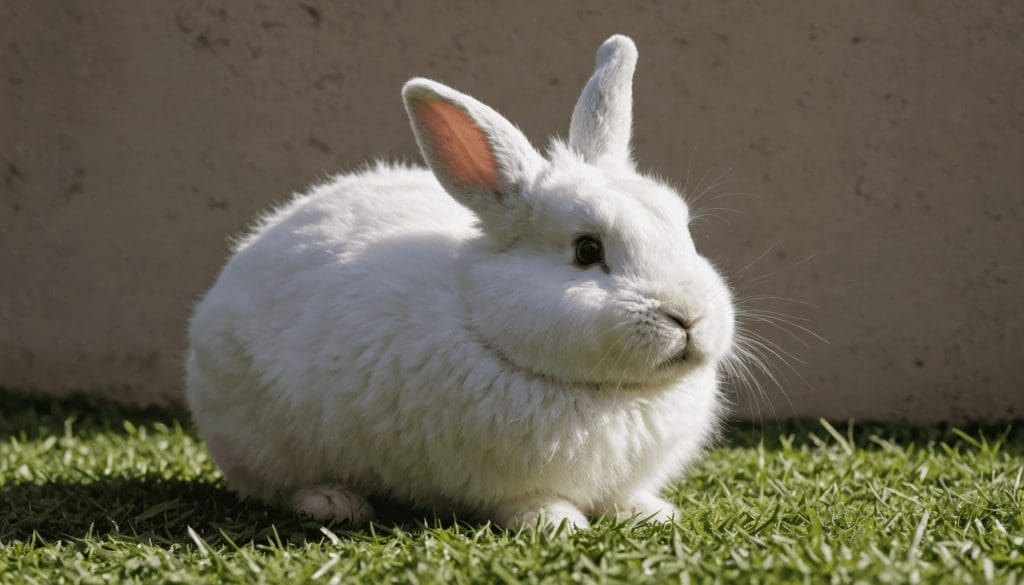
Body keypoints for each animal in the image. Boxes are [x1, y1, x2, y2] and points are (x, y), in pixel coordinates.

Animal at [185, 34, 735, 531]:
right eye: (587, 250)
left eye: (683, 229)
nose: (689, 316)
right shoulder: (507, 483)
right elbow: (530, 501)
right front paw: (557, 523)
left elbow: (622, 498)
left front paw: (654, 514)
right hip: (263, 442)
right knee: (276, 486)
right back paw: (332, 502)